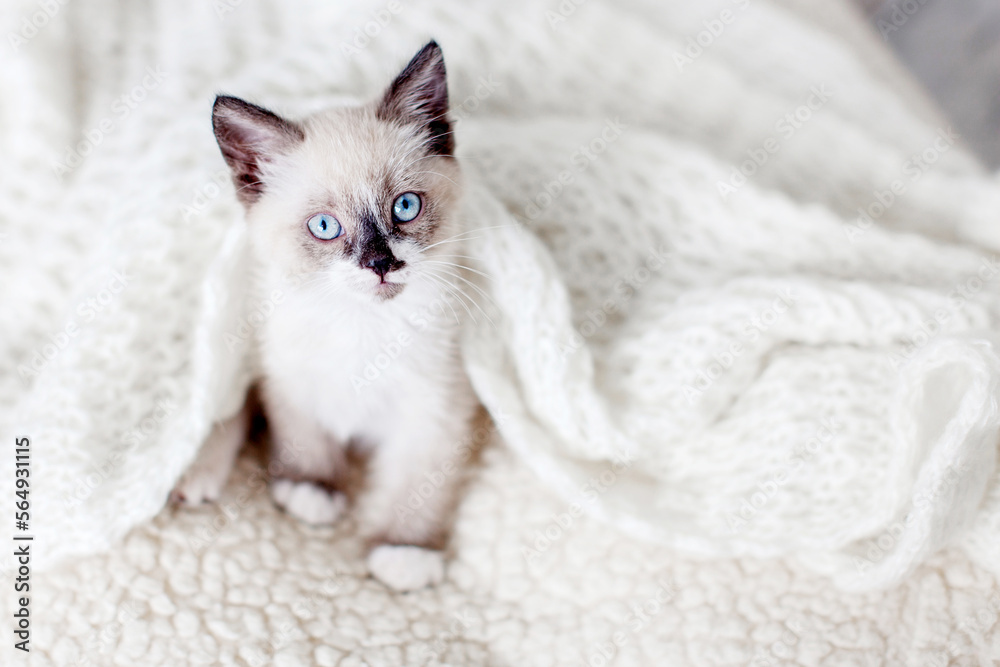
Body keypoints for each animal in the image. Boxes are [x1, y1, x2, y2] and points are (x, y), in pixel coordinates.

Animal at [173, 41, 480, 592]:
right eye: (324, 227)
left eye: (405, 207)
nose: (381, 264)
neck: (363, 330)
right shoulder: (290, 378)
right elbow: (303, 435)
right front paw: (311, 490)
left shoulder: (439, 409)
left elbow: (417, 483)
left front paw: (404, 552)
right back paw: (195, 479)